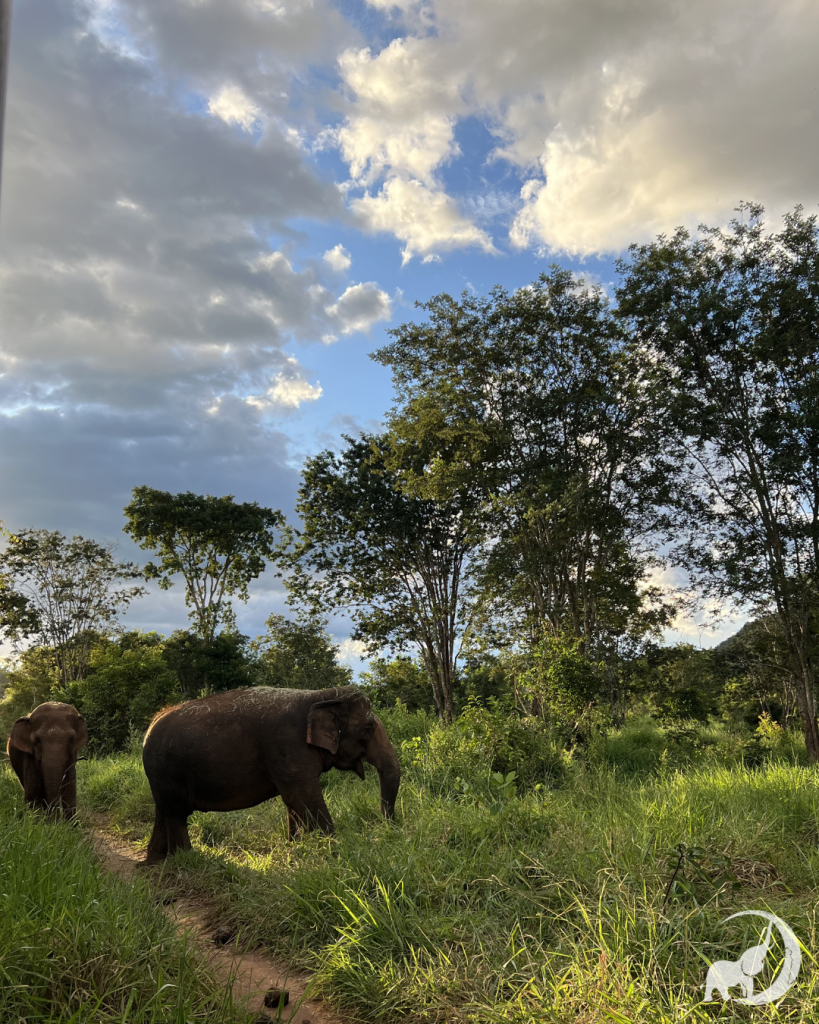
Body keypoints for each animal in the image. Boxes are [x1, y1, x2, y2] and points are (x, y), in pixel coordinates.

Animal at [141, 685, 401, 863]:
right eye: (369, 727)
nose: (387, 831)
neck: (319, 695)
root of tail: (150, 725)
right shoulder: (287, 747)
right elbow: (303, 797)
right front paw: (335, 852)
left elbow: (293, 802)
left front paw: (297, 849)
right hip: (167, 771)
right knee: (176, 814)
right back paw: (186, 859)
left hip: (161, 775)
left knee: (164, 812)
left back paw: (155, 862)